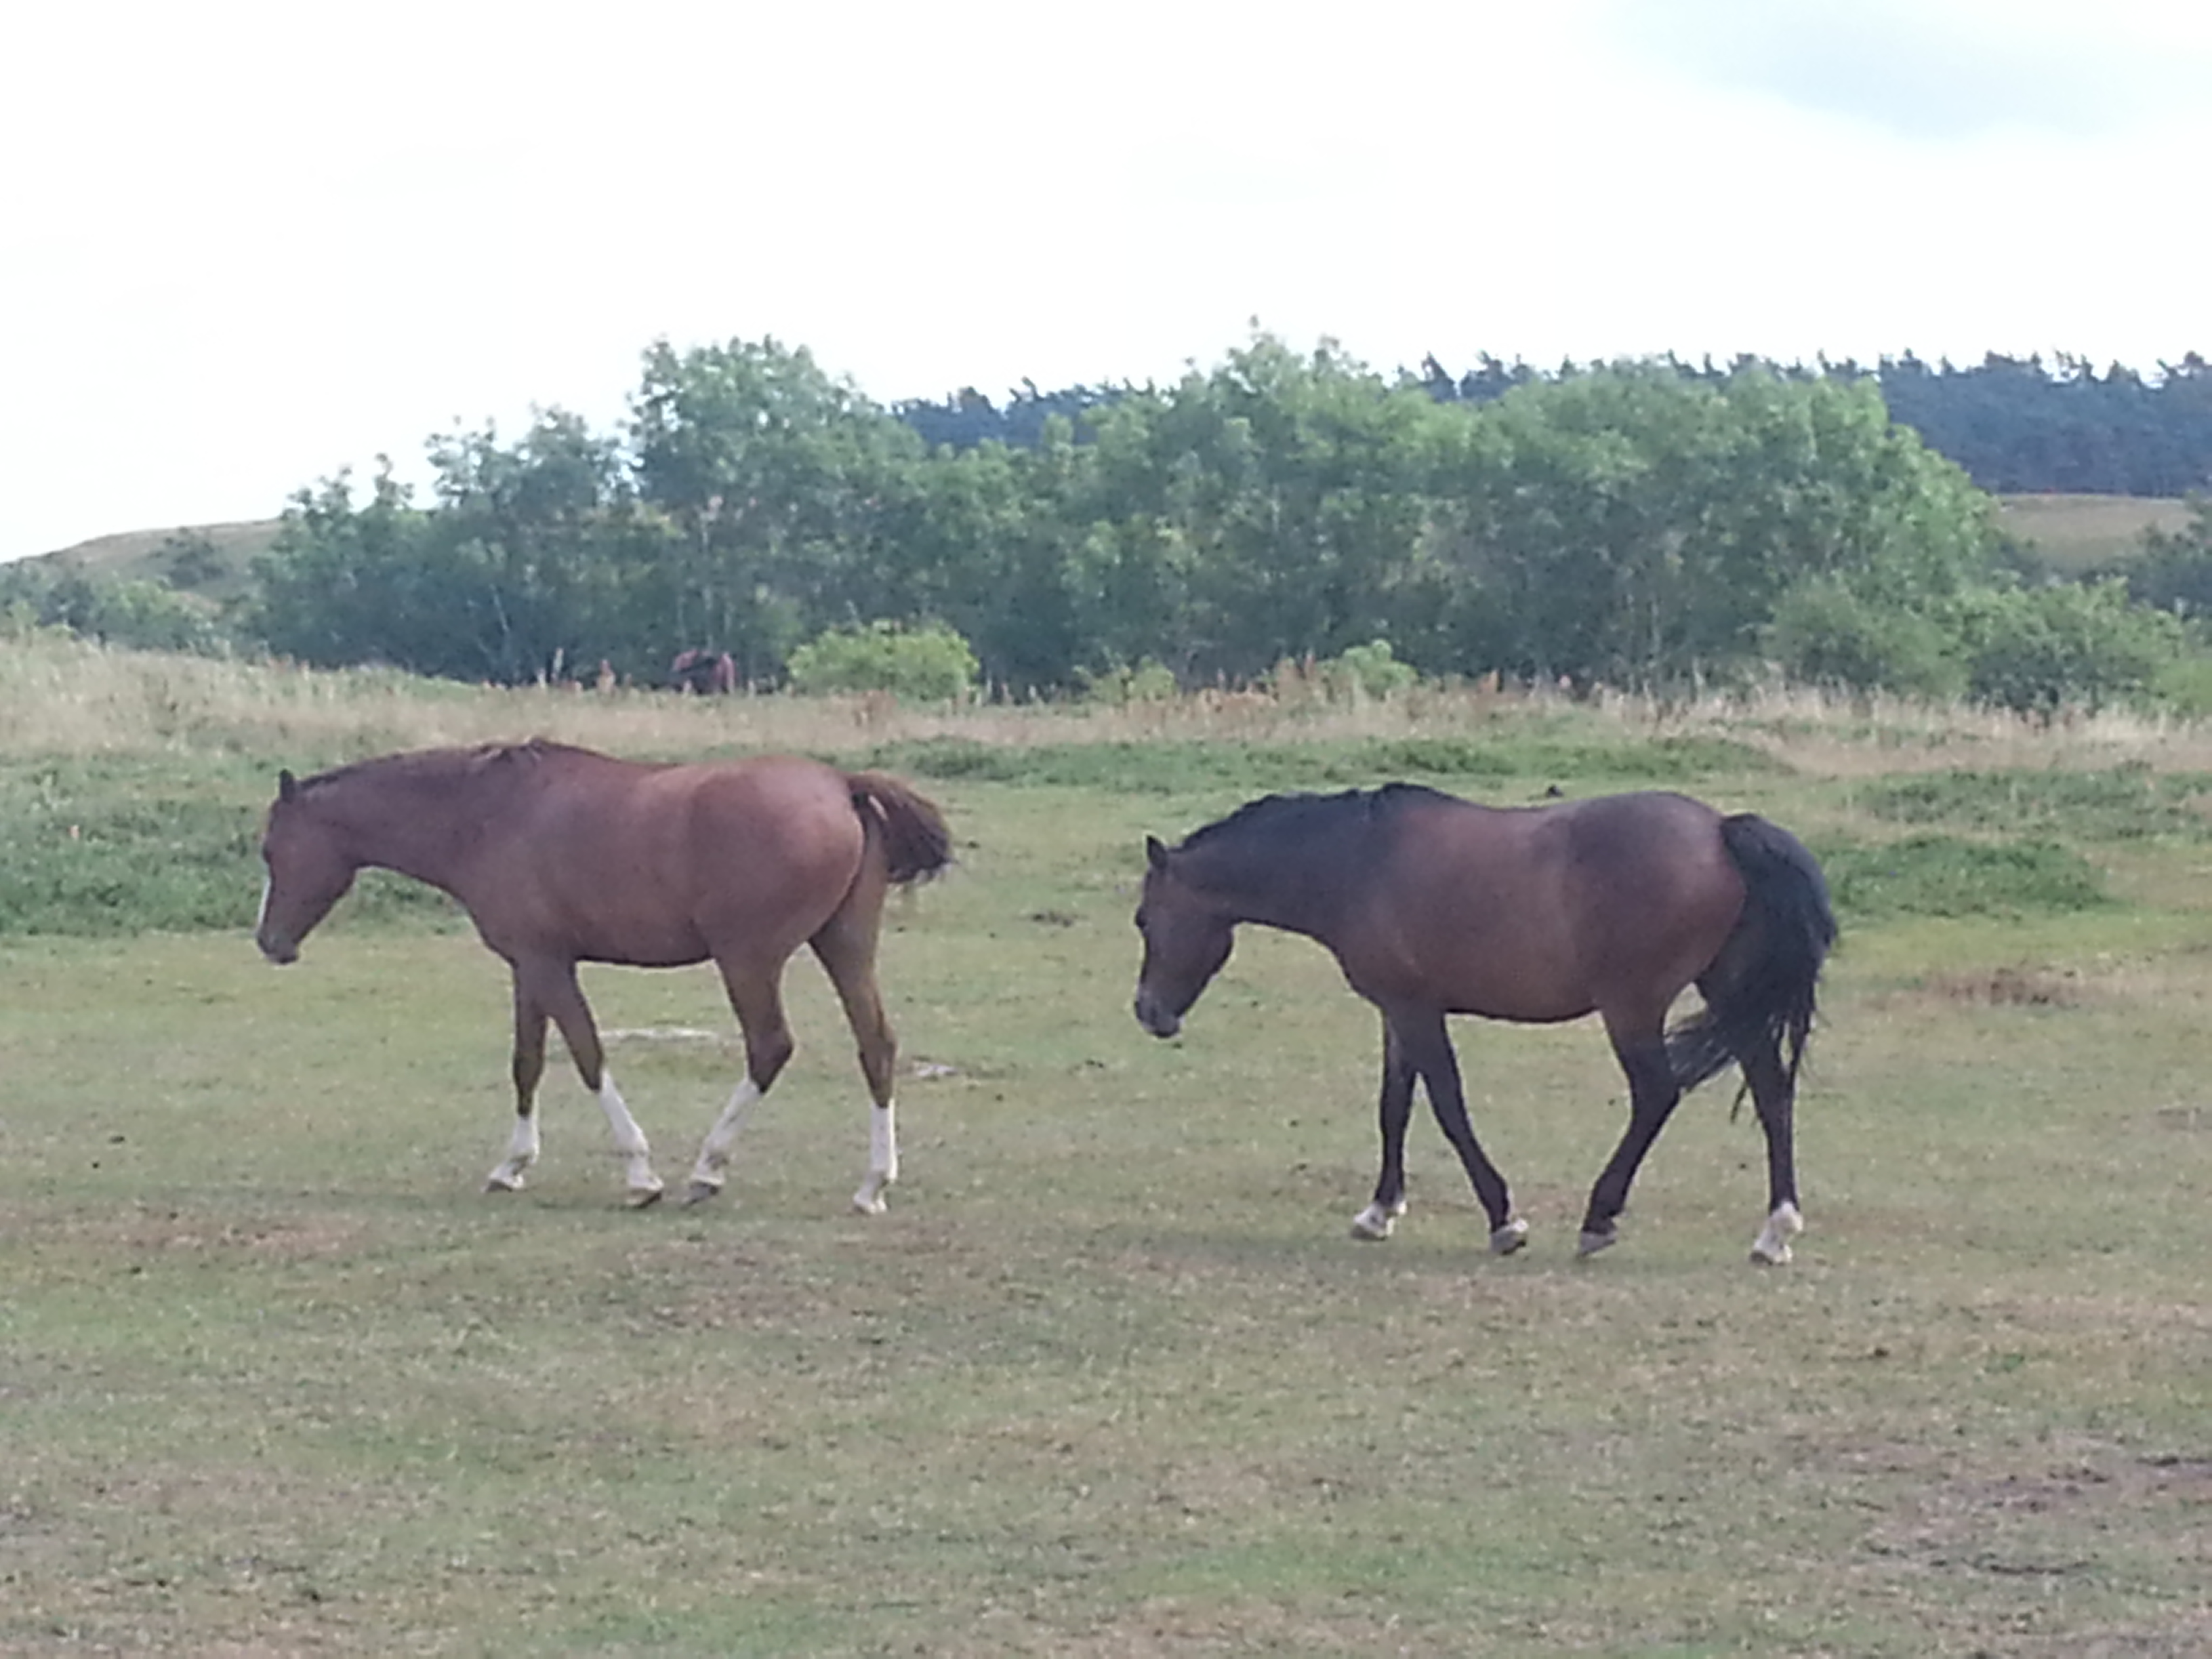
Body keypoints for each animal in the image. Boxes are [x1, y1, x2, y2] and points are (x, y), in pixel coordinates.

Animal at [256, 747, 951, 1212]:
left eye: (271, 849)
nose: (270, 943)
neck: (488, 815)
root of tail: (841, 786)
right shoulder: (529, 966)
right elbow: (527, 1062)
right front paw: (511, 1165)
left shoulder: (548, 964)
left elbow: (587, 1055)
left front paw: (641, 1175)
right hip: (845, 948)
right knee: (876, 1046)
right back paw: (872, 1185)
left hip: (748, 960)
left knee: (770, 1047)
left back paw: (708, 1169)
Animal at [1132, 787, 1840, 1265]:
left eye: (1143, 918)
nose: (1148, 1012)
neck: (1355, 861)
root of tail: (1721, 830)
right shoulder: (1398, 1010)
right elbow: (1394, 1107)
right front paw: (1379, 1211)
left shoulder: (1416, 1010)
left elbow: (1447, 1106)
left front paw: (1504, 1220)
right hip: (1729, 994)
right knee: (1772, 1093)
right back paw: (1775, 1231)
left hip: (1633, 1008)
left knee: (1657, 1095)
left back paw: (1599, 1217)